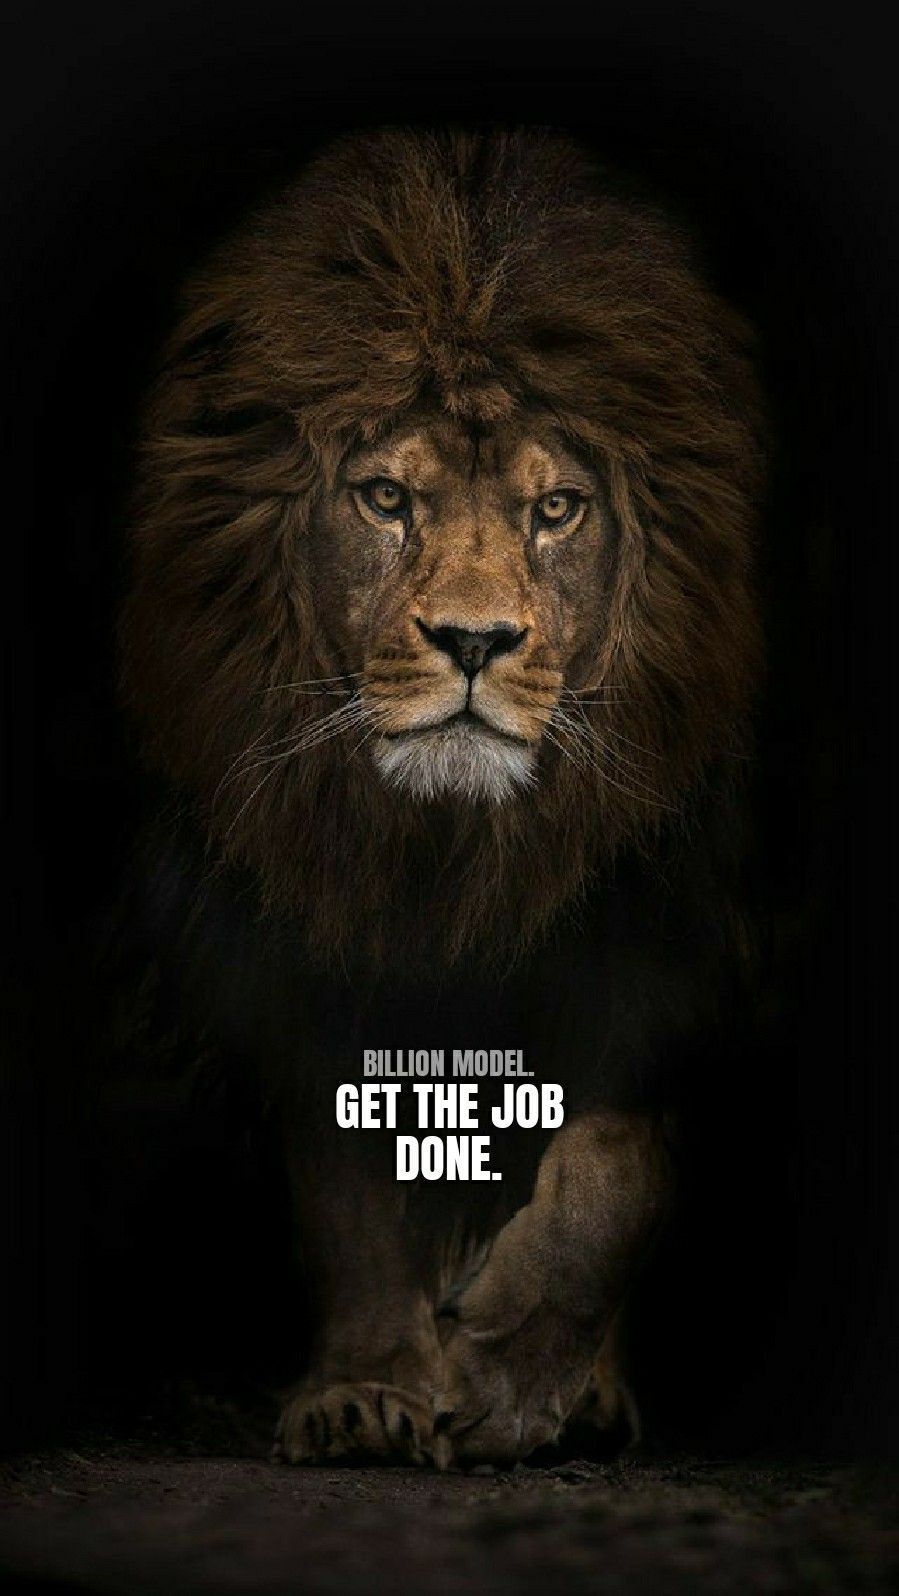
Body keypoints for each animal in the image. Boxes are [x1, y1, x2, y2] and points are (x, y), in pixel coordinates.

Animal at [119, 128, 762, 1467]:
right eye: (385, 498)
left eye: (555, 508)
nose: (473, 640)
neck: (450, 854)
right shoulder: (292, 943)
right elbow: (347, 1187)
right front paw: (370, 1389)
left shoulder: (678, 932)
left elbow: (619, 1156)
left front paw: (514, 1374)